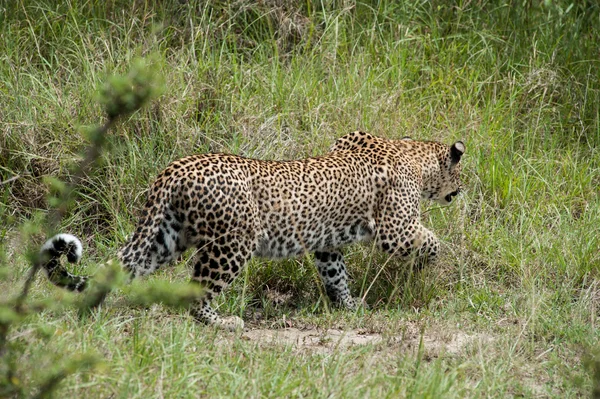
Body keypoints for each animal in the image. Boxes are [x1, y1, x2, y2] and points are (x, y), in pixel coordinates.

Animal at [39, 131, 466, 332]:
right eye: (460, 174)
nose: (460, 190)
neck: (414, 156)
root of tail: (172, 171)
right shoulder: (396, 229)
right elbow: (431, 242)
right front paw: (427, 265)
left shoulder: (327, 244)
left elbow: (336, 275)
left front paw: (348, 305)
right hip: (232, 243)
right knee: (197, 294)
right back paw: (223, 323)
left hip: (164, 238)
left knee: (120, 268)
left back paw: (91, 310)